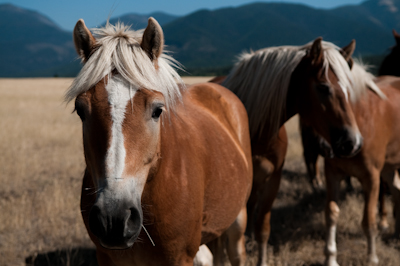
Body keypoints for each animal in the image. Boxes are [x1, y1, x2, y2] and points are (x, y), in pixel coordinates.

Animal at [67, 17, 252, 264]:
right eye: (80, 110)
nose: (114, 219)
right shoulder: (106, 257)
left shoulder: (180, 258)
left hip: (238, 219)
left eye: (157, 110)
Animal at [222, 38, 362, 266]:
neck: (256, 131)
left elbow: (263, 229)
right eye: (323, 87)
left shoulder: (273, 180)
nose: (353, 142)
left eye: (348, 87)